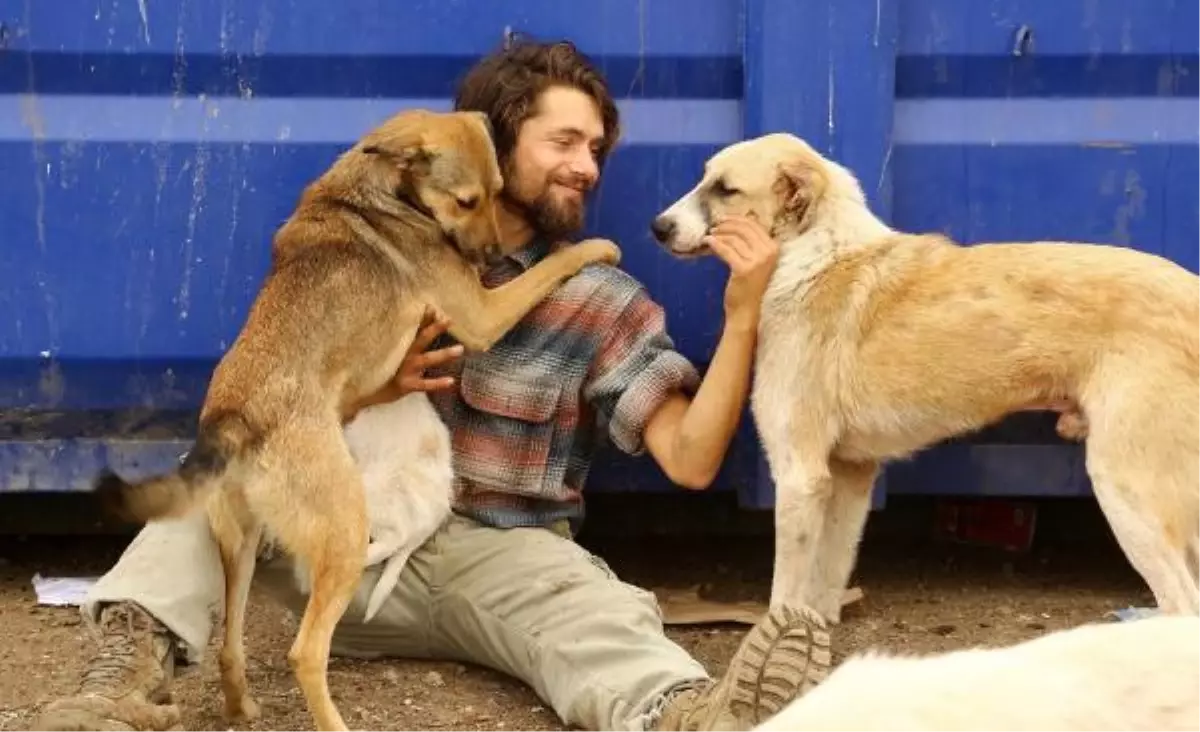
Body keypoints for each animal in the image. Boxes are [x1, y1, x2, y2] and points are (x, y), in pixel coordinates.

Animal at [652, 130, 1200, 619]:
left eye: (726, 189)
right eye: (705, 178)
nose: (658, 226)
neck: (812, 257)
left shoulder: (799, 475)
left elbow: (783, 602)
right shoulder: (851, 475)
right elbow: (821, 599)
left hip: (1128, 488)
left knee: (1182, 606)